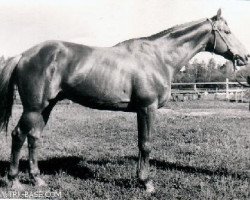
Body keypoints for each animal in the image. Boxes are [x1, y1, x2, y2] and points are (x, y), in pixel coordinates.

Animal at [0, 9, 248, 192]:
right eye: (227, 31)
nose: (244, 57)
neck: (158, 57)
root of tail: (24, 55)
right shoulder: (147, 108)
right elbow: (145, 144)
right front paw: (146, 183)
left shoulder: (141, 110)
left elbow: (141, 143)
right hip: (33, 108)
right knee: (18, 135)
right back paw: (14, 181)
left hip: (46, 106)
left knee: (34, 137)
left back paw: (37, 179)